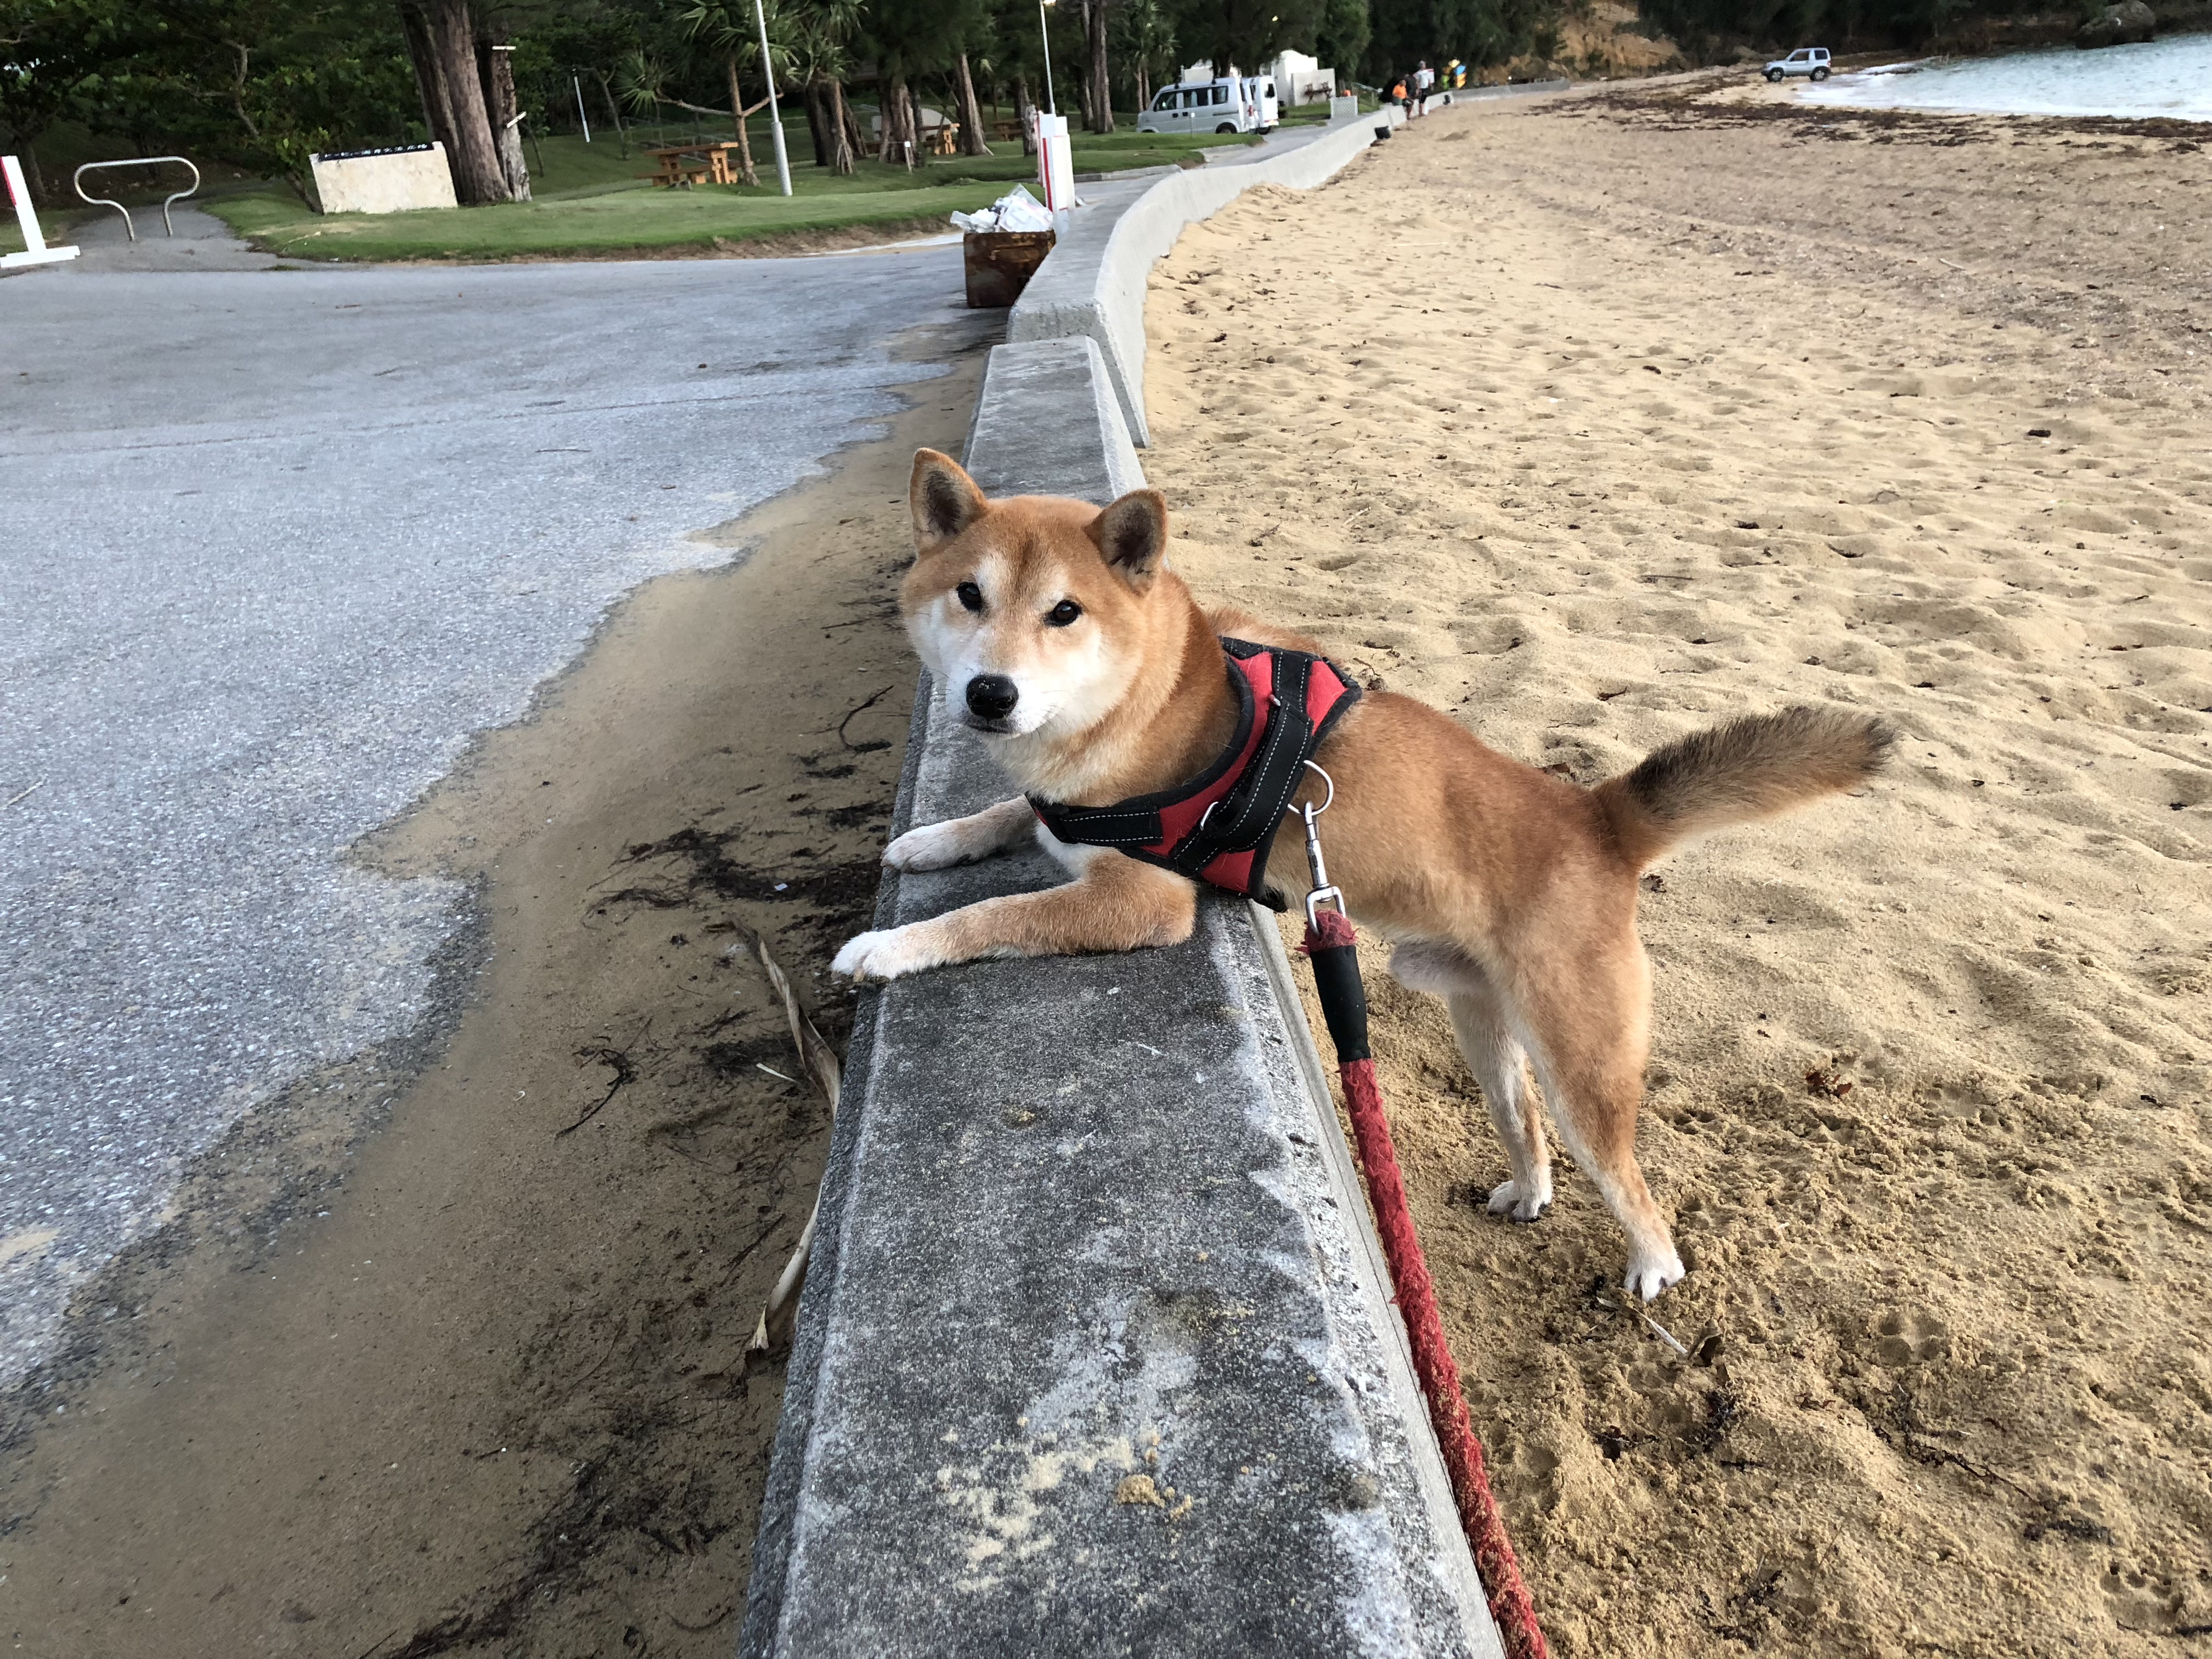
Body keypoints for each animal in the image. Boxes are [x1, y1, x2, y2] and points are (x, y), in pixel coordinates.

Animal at [836, 449, 1893, 1309]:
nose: (990, 694)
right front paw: (928, 840)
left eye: (1065, 612)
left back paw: (1650, 1267)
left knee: (1627, 1181)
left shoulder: (1141, 900)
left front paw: (887, 944)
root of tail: (1594, 818)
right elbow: (1007, 815)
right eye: (968, 595)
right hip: (1480, 1020)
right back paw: (1528, 1191)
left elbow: (991, 914)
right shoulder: (1061, 805)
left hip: (1582, 1057)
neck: (1154, 693)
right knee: (1526, 1124)